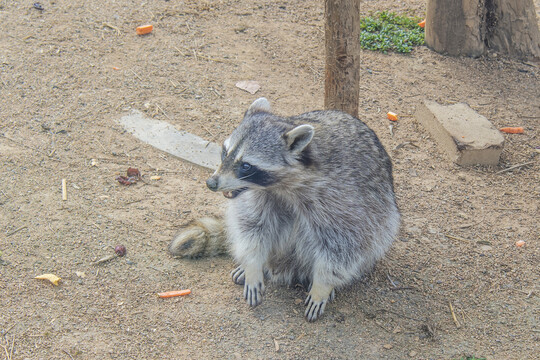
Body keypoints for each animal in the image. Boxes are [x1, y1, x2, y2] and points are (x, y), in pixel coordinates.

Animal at [170, 97, 400, 320]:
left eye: (246, 166)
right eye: (225, 152)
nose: (211, 183)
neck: (281, 187)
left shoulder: (342, 199)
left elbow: (343, 245)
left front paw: (323, 285)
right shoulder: (258, 197)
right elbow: (252, 226)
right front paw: (253, 264)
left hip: (383, 219)